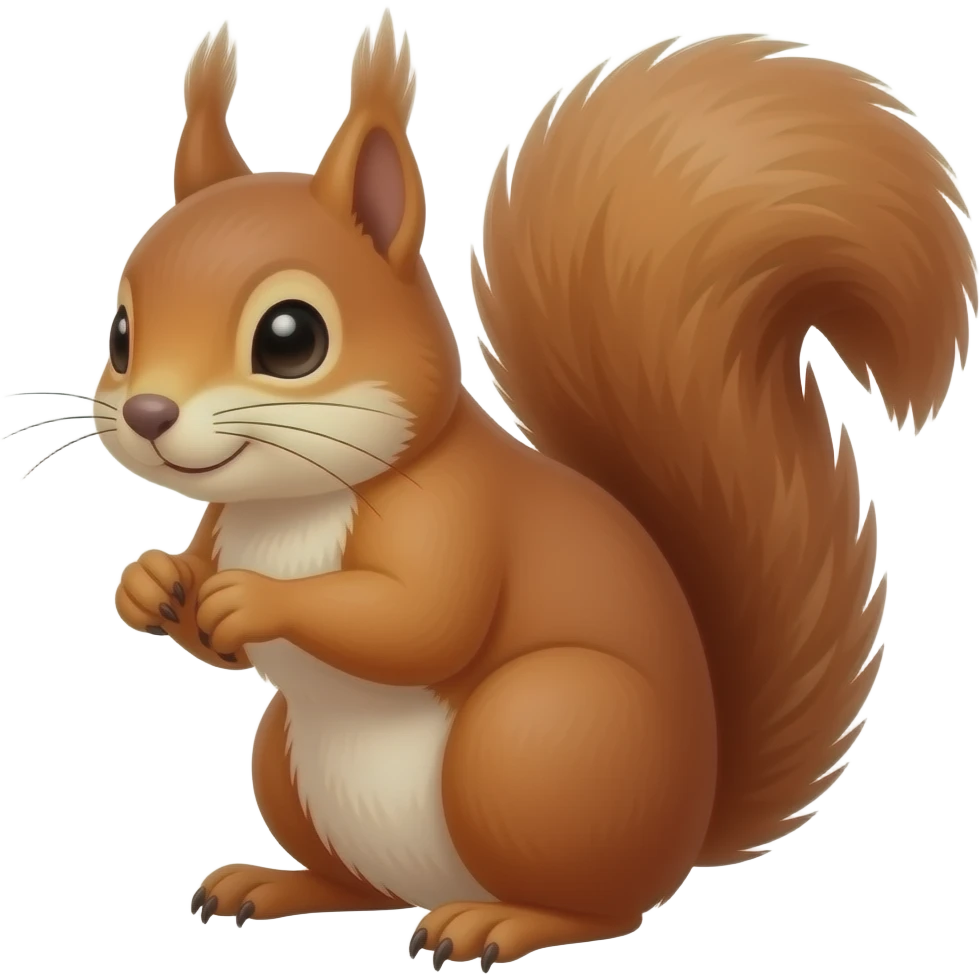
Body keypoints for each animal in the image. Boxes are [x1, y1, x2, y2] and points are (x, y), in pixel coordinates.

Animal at [96, 14, 975, 969]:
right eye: (121, 332)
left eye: (291, 338)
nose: (146, 413)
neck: (293, 503)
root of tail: (686, 828)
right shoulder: (226, 522)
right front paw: (149, 582)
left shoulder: (452, 513)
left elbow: (421, 621)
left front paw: (254, 598)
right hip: (289, 760)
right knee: (363, 888)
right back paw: (278, 884)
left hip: (540, 735)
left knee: (601, 908)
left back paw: (502, 923)